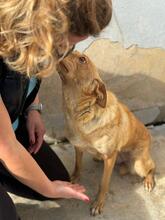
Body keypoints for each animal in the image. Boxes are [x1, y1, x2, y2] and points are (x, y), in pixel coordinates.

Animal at [56, 51, 155, 215]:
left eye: (82, 59)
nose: (65, 49)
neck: (83, 112)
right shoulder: (78, 147)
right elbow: (77, 165)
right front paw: (74, 178)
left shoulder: (109, 157)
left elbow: (103, 184)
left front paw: (98, 204)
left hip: (139, 164)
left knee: (152, 167)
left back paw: (148, 180)